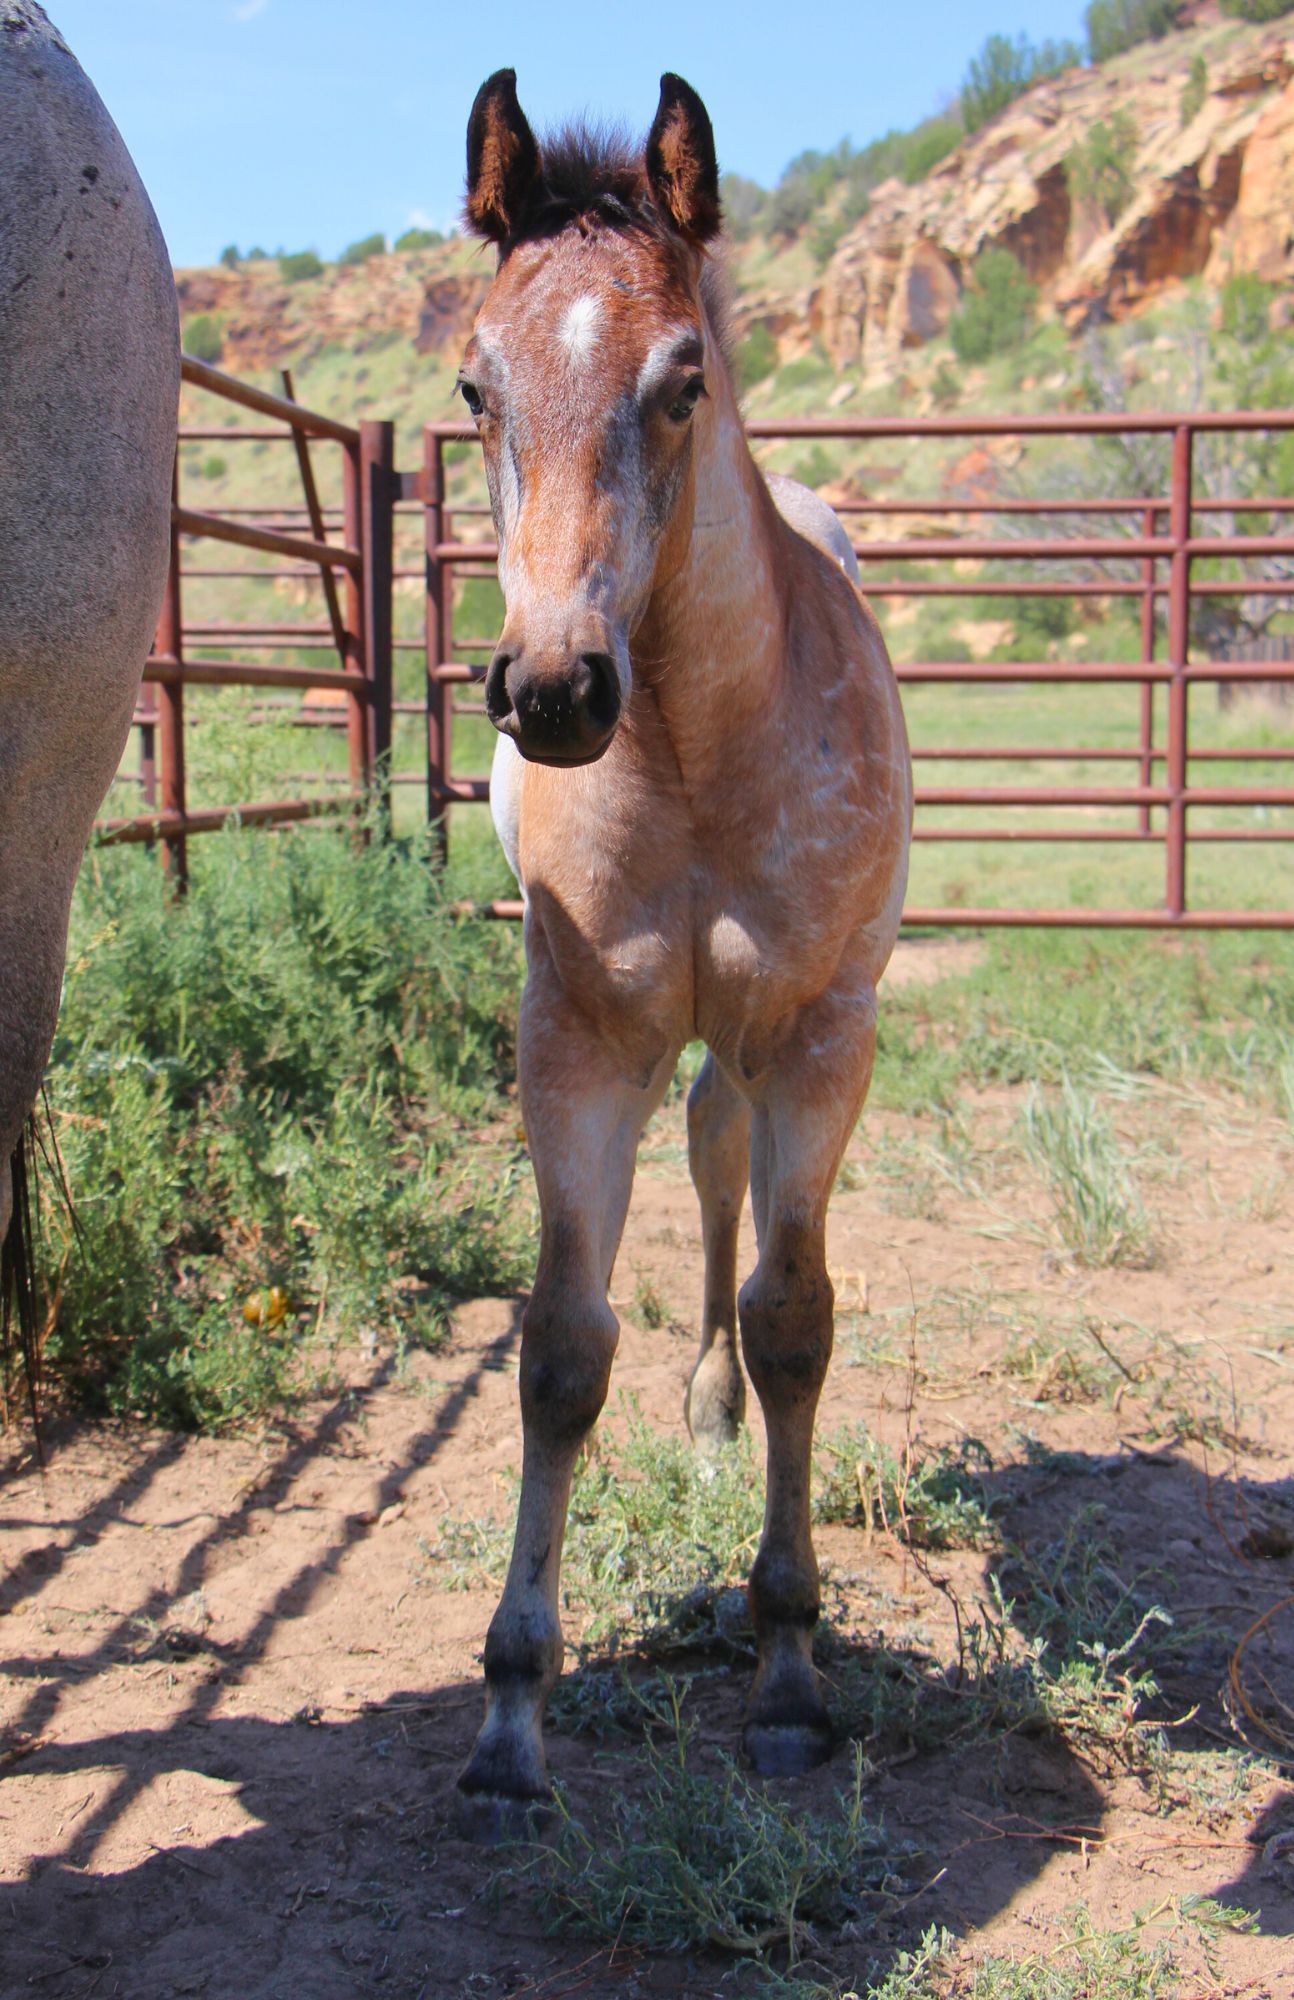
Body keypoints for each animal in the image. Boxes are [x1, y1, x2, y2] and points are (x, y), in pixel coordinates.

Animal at [453, 68, 912, 1838]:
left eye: (681, 380)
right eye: (472, 389)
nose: (553, 688)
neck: (700, 751)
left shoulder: (822, 1035)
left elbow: (796, 1318)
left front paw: (787, 1675)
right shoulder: (577, 1036)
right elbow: (559, 1349)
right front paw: (510, 1718)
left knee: (725, 1164)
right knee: (706, 1155)